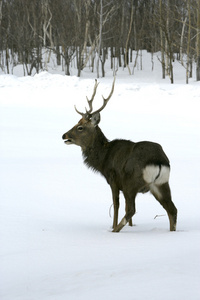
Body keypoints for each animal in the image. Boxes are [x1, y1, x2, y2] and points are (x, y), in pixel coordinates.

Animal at [61, 79, 177, 232]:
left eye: (80, 127)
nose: (64, 135)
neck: (103, 159)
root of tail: (158, 161)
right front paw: (132, 227)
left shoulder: (114, 180)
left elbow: (116, 204)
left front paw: (113, 225)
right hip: (161, 183)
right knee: (172, 209)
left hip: (132, 182)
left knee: (132, 210)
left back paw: (115, 230)